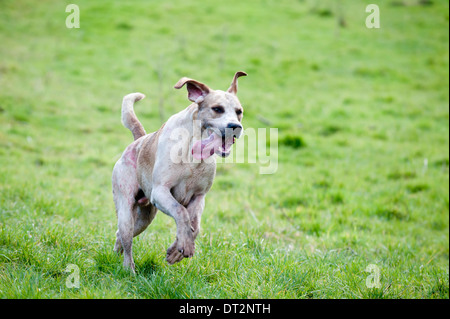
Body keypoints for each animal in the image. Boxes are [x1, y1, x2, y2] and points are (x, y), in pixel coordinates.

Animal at [111, 72, 246, 272]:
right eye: (217, 109)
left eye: (239, 111)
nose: (235, 126)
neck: (192, 153)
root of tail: (139, 140)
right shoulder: (161, 192)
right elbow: (180, 211)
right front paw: (184, 246)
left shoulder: (199, 196)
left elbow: (194, 225)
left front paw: (176, 251)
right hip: (126, 209)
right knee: (127, 238)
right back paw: (129, 269)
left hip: (144, 218)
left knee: (120, 234)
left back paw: (116, 253)